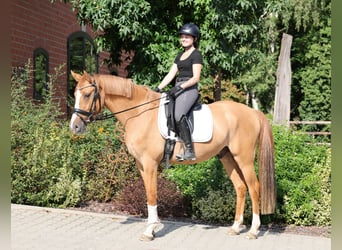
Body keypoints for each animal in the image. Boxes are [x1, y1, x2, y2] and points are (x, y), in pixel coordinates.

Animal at [69, 70, 276, 240]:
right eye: (75, 95)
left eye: (87, 94)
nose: (75, 127)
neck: (139, 113)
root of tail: (253, 112)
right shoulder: (141, 165)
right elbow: (148, 194)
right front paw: (152, 228)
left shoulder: (150, 164)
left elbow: (152, 194)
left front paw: (149, 231)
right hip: (227, 156)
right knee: (240, 187)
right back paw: (235, 227)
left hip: (244, 158)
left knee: (254, 187)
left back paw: (253, 230)